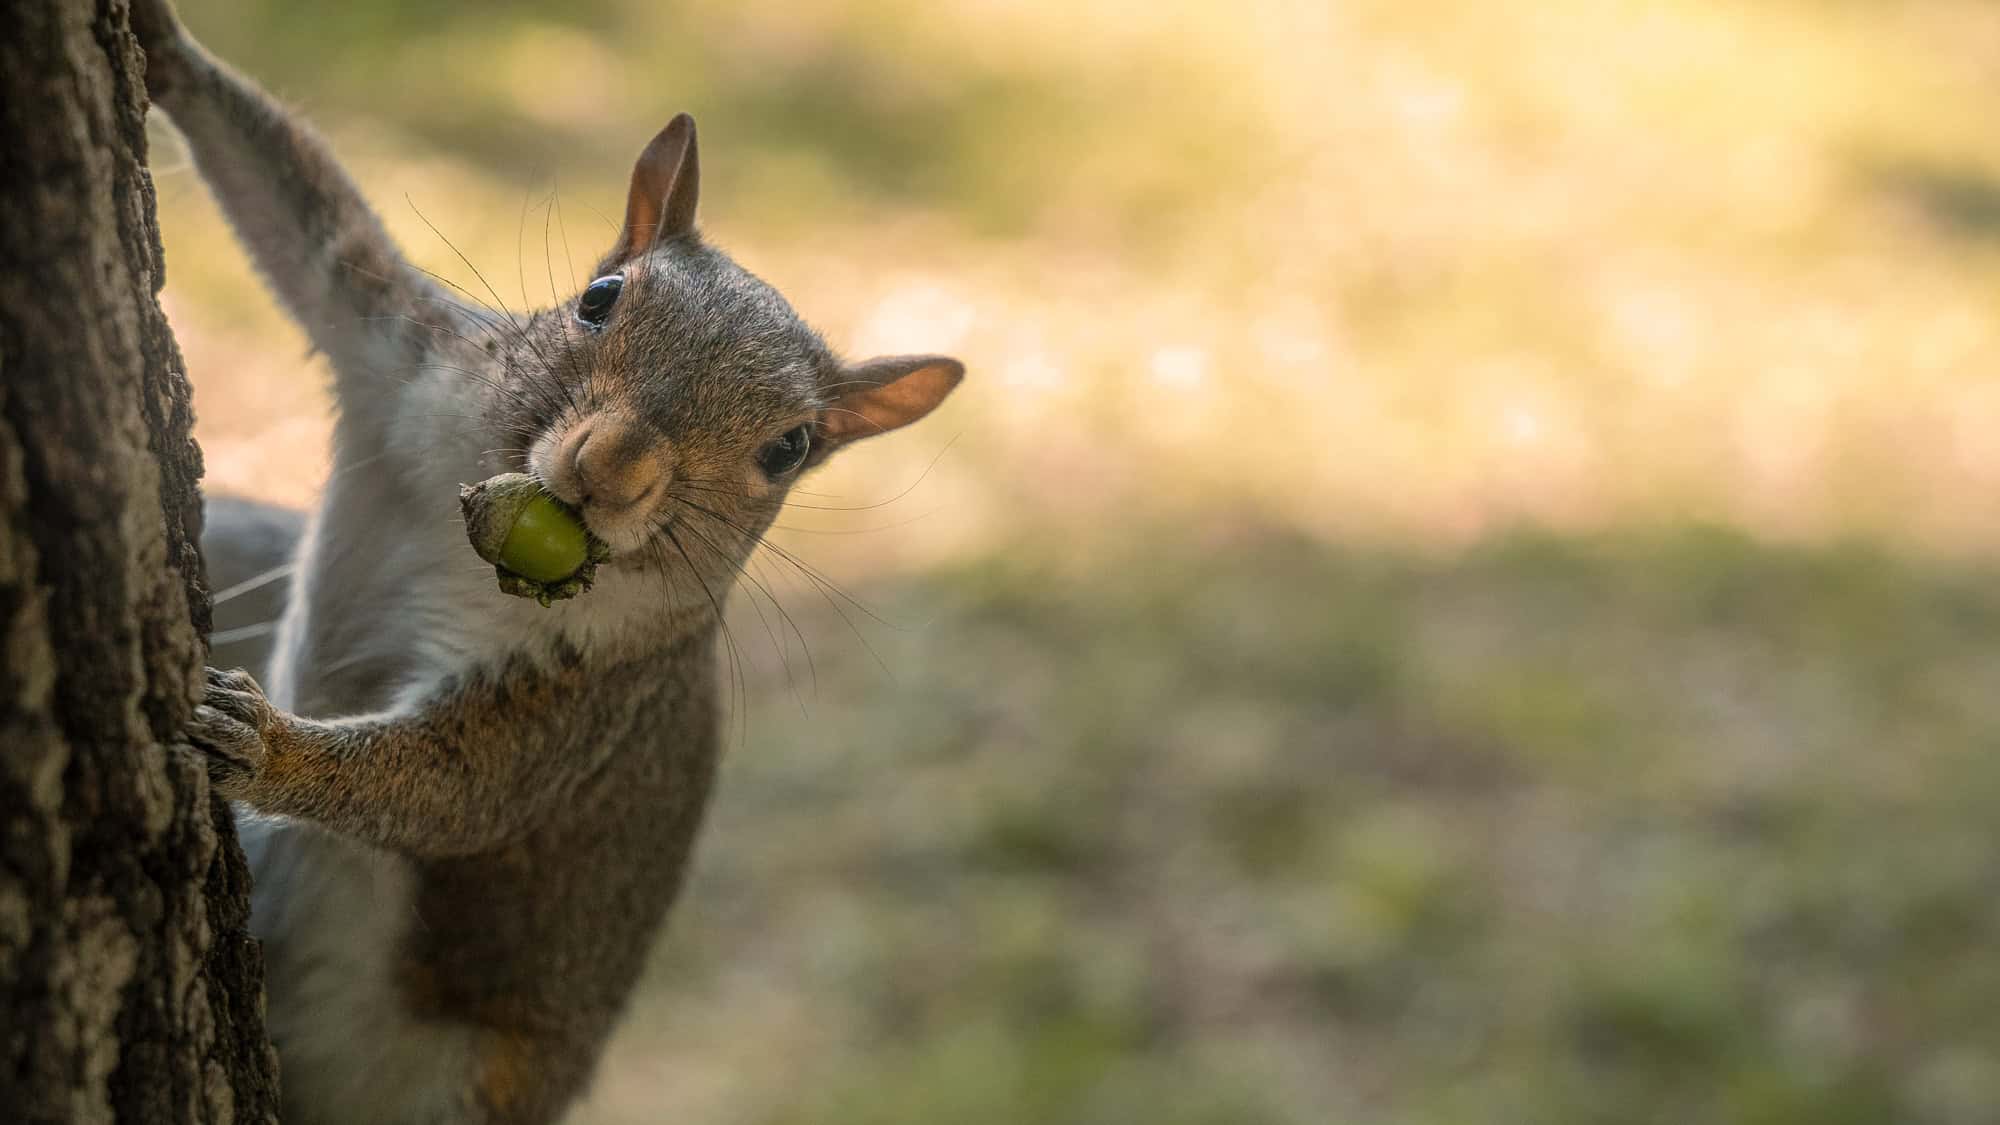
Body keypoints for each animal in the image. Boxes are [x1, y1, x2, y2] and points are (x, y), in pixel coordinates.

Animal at [134, 2, 965, 1121]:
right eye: (599, 296)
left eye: (789, 448)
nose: (609, 466)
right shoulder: (406, 348)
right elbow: (308, 222)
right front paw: (162, 47)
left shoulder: (592, 698)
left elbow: (456, 787)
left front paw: (264, 746)